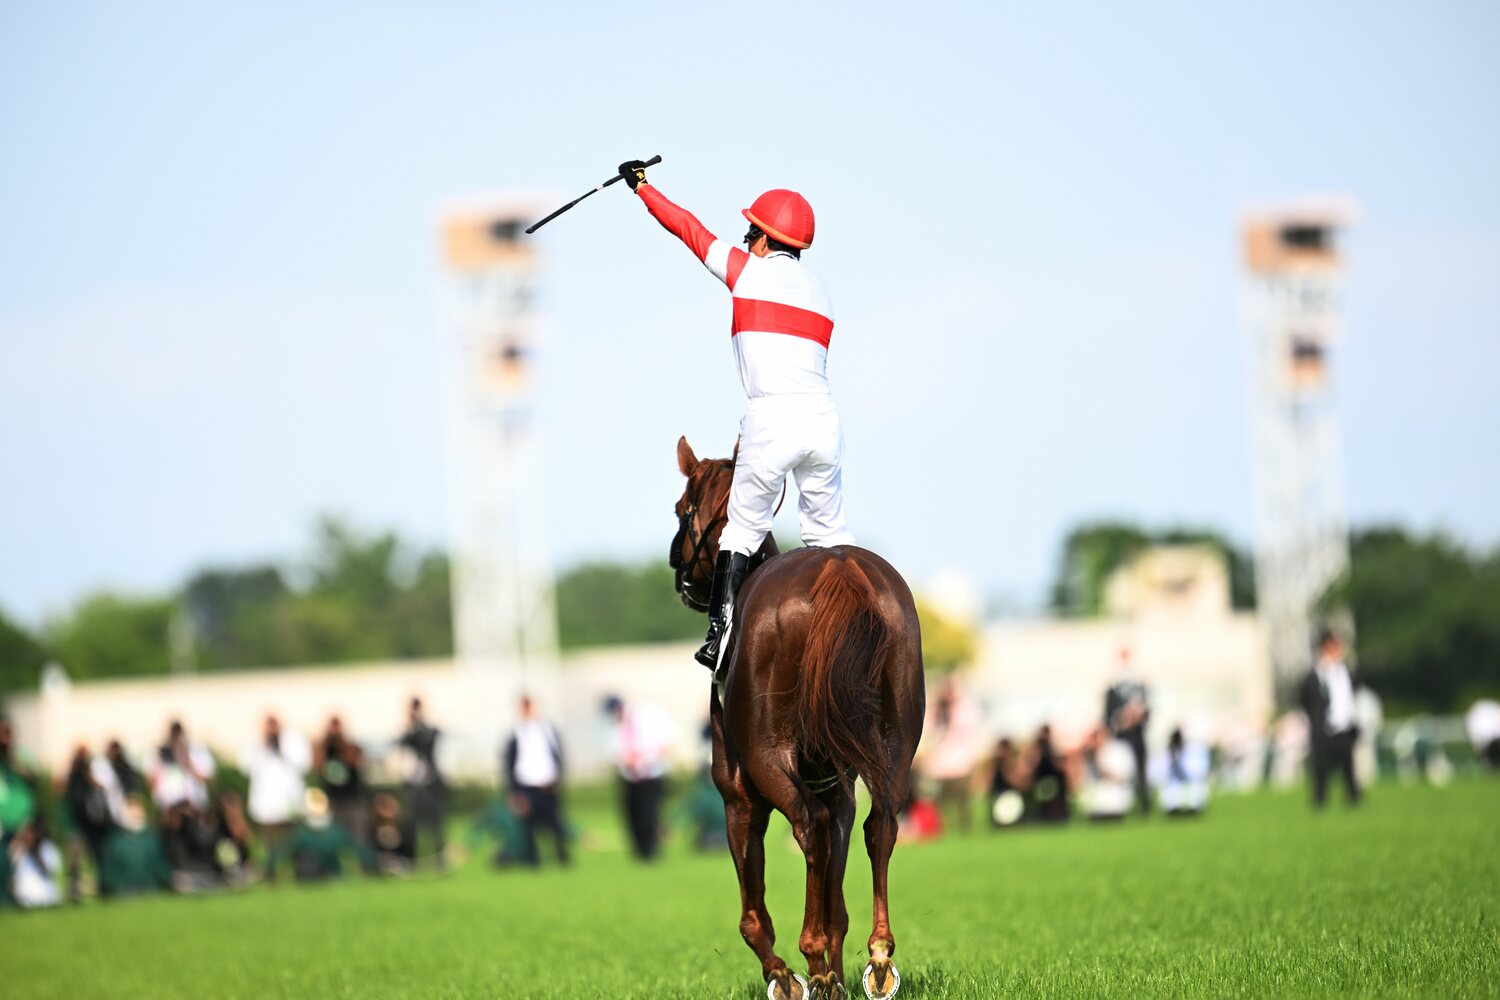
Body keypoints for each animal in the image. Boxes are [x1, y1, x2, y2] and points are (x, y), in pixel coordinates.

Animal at [670, 436, 926, 1000]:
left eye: (681, 509)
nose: (677, 566)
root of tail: (839, 568)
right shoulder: (841, 786)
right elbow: (837, 892)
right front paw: (835, 973)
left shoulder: (738, 795)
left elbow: (753, 914)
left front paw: (788, 974)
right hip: (895, 748)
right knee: (881, 825)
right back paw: (879, 958)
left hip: (767, 762)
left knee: (807, 824)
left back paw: (809, 959)